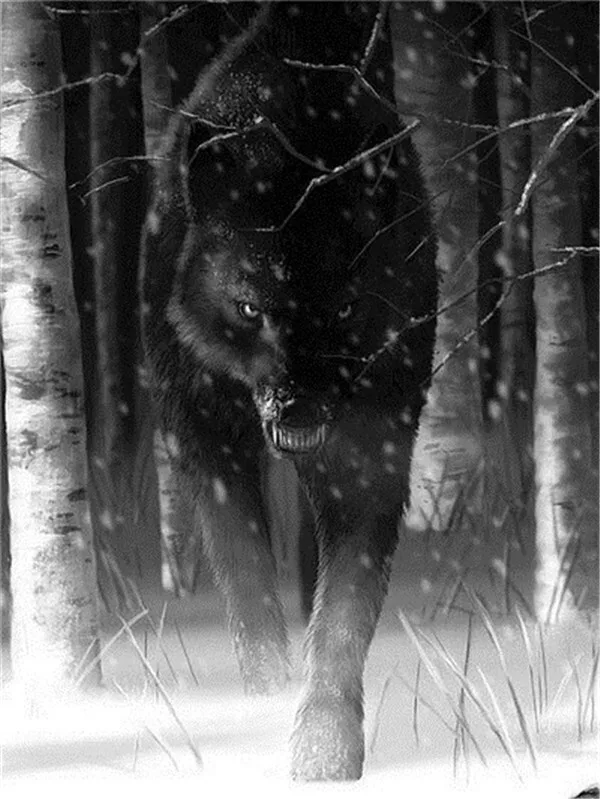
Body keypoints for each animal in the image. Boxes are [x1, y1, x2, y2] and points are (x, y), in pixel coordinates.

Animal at [140, 2, 437, 781]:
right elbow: (249, 592)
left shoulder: (371, 453)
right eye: (250, 307)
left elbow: (341, 617)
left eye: (343, 307)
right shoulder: (207, 445)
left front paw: (323, 752)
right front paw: (263, 703)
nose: (298, 405)